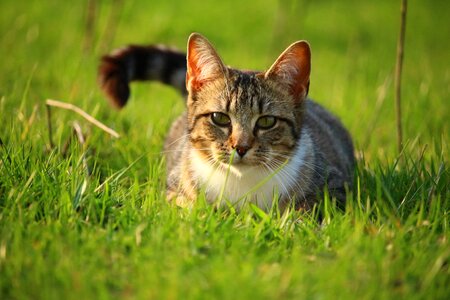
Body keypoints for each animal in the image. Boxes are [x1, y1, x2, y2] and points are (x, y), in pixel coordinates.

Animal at [98, 33, 356, 211]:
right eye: (219, 118)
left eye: (267, 121)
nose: (240, 147)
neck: (242, 182)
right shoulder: (173, 187)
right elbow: (186, 206)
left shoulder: (335, 186)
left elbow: (306, 210)